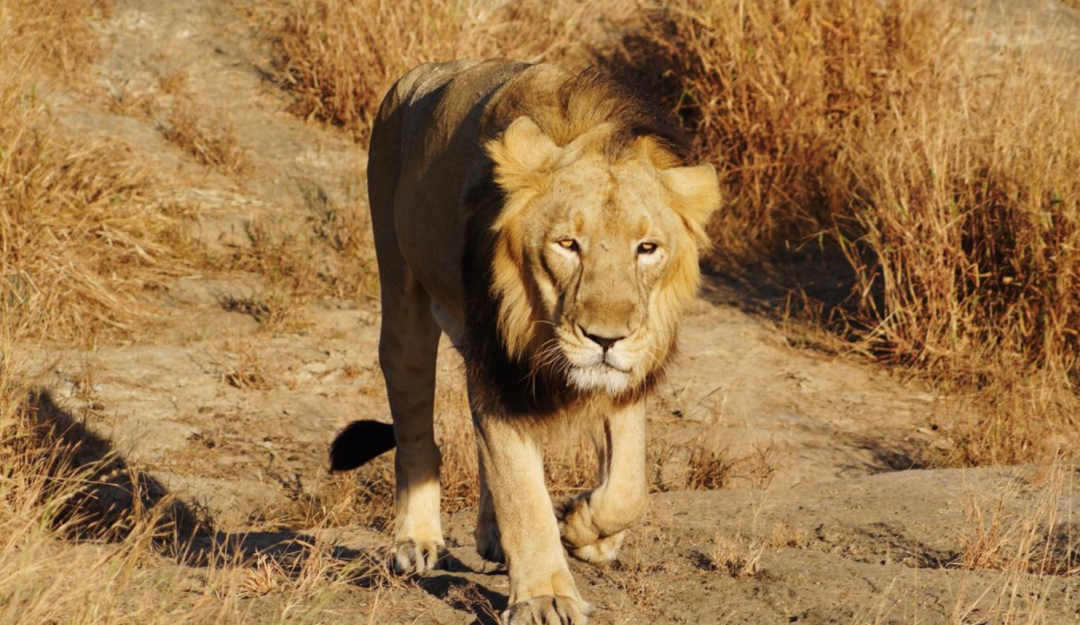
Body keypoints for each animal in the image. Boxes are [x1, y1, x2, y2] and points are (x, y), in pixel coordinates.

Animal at [328, 59, 717, 625]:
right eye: (567, 244)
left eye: (647, 248)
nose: (606, 338)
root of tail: (422, 73)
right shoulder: (500, 365)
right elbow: (523, 495)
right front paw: (545, 596)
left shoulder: (622, 376)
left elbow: (629, 486)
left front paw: (585, 530)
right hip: (402, 296)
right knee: (416, 430)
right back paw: (416, 540)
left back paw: (494, 538)